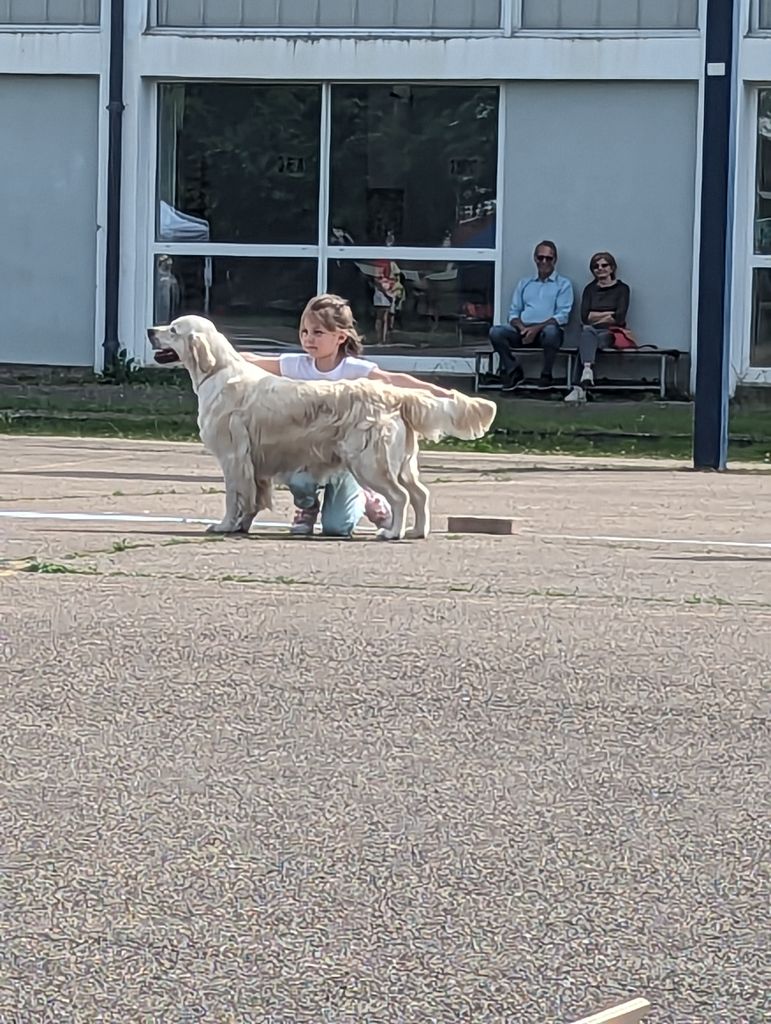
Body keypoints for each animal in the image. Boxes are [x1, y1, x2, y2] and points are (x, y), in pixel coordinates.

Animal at [147, 315, 495, 540]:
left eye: (173, 329)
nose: (151, 329)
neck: (217, 372)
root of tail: (393, 394)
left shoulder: (233, 456)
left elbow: (234, 497)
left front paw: (224, 525)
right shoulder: (254, 463)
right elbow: (254, 497)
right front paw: (242, 525)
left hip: (370, 464)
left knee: (400, 497)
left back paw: (392, 532)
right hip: (401, 464)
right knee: (420, 494)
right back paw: (416, 531)